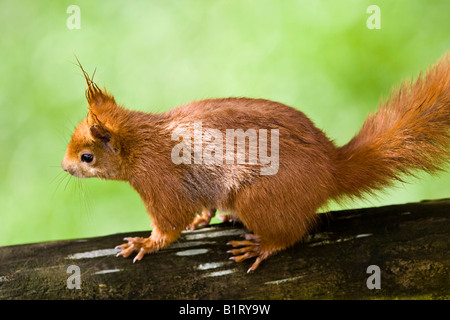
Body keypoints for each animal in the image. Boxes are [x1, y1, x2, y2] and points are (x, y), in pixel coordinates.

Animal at [63, 53, 450, 272]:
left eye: (87, 157)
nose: (65, 167)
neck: (141, 142)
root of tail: (331, 171)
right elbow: (198, 208)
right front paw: (202, 219)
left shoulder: (161, 182)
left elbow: (170, 223)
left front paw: (145, 243)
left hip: (259, 198)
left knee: (293, 233)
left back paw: (263, 246)